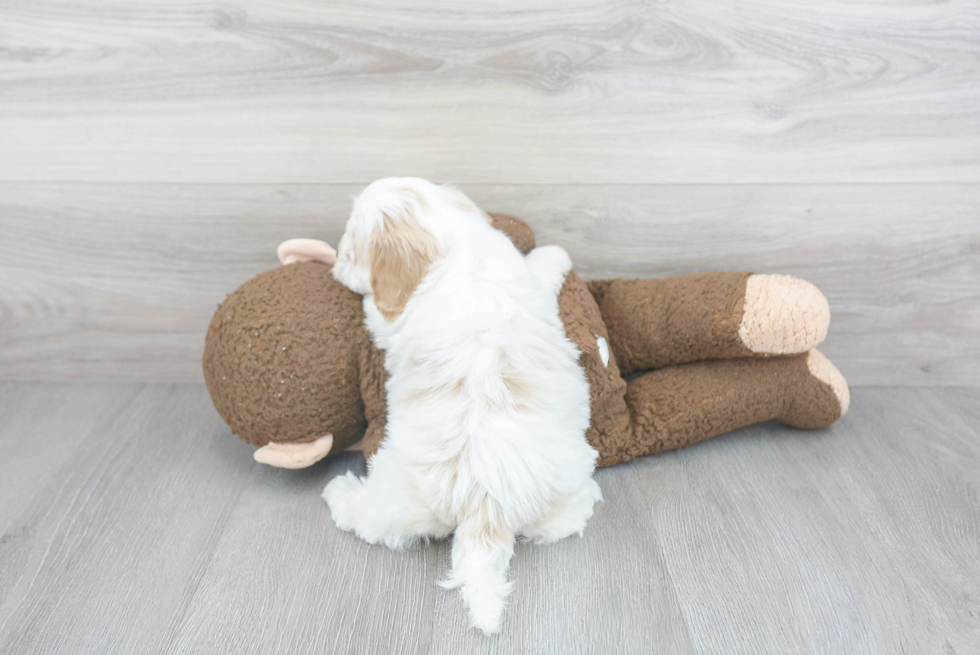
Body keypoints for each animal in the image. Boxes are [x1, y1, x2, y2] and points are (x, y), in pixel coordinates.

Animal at [324, 177, 596, 632]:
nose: (334, 262)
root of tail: (487, 505)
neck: (452, 245)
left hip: (393, 497)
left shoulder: (388, 317)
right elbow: (539, 270)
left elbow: (374, 310)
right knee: (568, 519)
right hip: (566, 491)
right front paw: (555, 254)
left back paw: (339, 491)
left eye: (352, 249)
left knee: (367, 518)